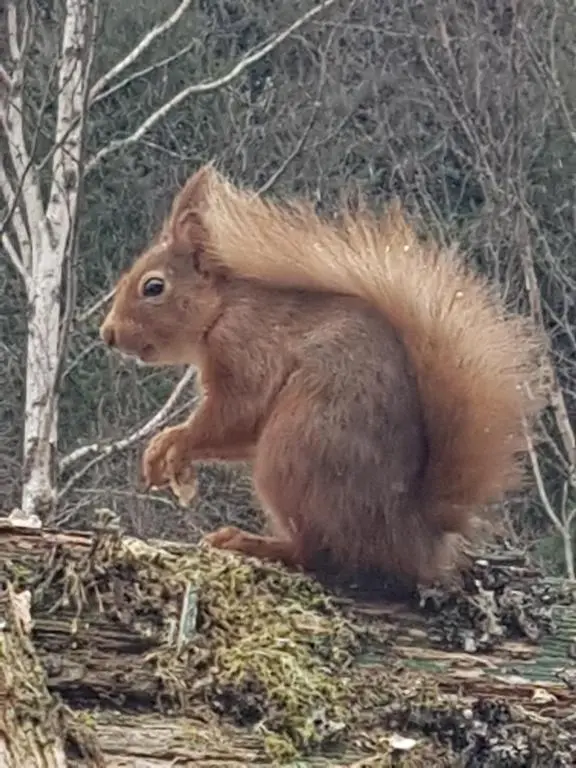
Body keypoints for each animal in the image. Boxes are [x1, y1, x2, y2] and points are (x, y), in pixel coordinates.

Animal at [99, 164, 545, 584]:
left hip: (294, 450)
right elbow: (239, 433)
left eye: (153, 287)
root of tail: (410, 537)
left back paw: (250, 542)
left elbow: (234, 414)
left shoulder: (247, 349)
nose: (108, 335)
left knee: (317, 553)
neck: (222, 309)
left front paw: (172, 442)